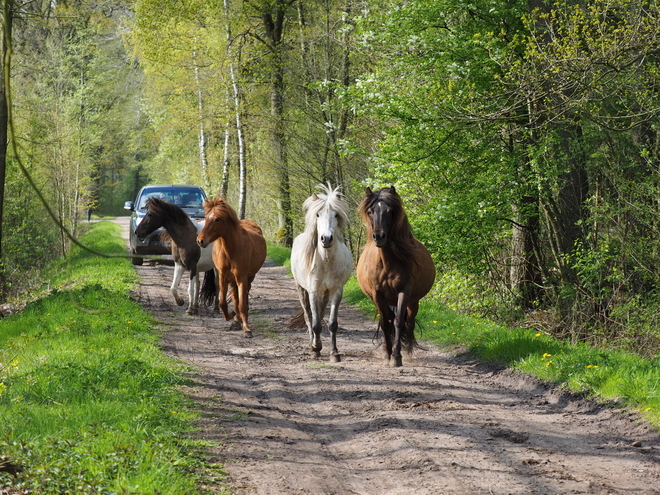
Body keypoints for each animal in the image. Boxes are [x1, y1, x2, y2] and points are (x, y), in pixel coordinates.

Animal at [196, 197, 266, 338]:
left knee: (243, 297)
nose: (200, 240)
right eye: (206, 217)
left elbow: (242, 304)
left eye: (217, 219)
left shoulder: (241, 278)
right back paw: (236, 320)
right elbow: (223, 302)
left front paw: (246, 329)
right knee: (235, 297)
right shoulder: (223, 277)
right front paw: (231, 316)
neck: (231, 251)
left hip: (248, 277)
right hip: (232, 280)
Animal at [290, 184, 354, 362]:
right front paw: (316, 349)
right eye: (317, 214)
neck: (326, 262)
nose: (326, 239)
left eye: (336, 214)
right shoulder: (313, 291)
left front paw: (334, 353)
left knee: (321, 311)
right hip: (301, 289)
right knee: (308, 316)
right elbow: (315, 323)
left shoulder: (336, 291)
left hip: (325, 293)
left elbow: (332, 323)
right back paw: (313, 344)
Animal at [358, 187, 436, 368]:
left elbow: (399, 321)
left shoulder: (404, 292)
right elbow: (386, 323)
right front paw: (388, 354)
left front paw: (397, 356)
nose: (379, 236)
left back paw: (407, 350)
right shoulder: (377, 295)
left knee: (409, 322)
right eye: (371, 211)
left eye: (390, 211)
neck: (386, 263)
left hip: (413, 302)